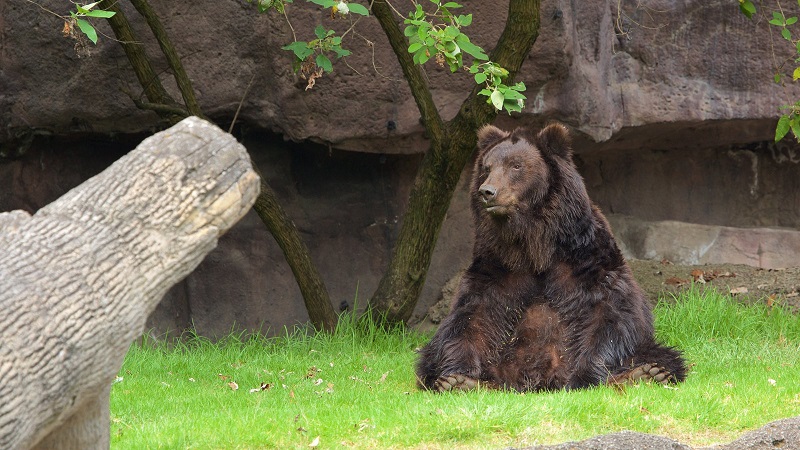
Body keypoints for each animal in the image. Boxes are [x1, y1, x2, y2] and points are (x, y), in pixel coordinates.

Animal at [416, 122, 684, 390]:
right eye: (487, 167)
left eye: (516, 165)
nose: (487, 192)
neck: (534, 244)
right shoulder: (496, 265)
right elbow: (472, 316)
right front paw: (456, 377)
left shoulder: (585, 259)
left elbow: (609, 312)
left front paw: (587, 376)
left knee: (660, 354)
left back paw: (646, 373)